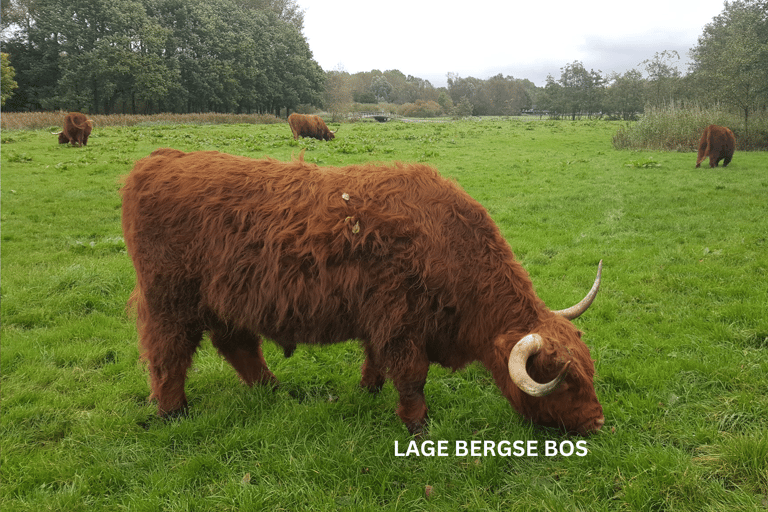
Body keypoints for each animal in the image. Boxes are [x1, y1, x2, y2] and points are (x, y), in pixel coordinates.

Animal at [121, 149, 608, 436]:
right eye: (566, 382)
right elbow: (411, 376)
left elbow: (376, 360)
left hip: (227, 299)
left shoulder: (382, 320)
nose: (599, 421)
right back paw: (173, 411)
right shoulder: (400, 322)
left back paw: (273, 390)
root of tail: (157, 159)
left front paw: (369, 390)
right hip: (171, 299)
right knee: (169, 353)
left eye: (590, 372)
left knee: (236, 344)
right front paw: (417, 426)